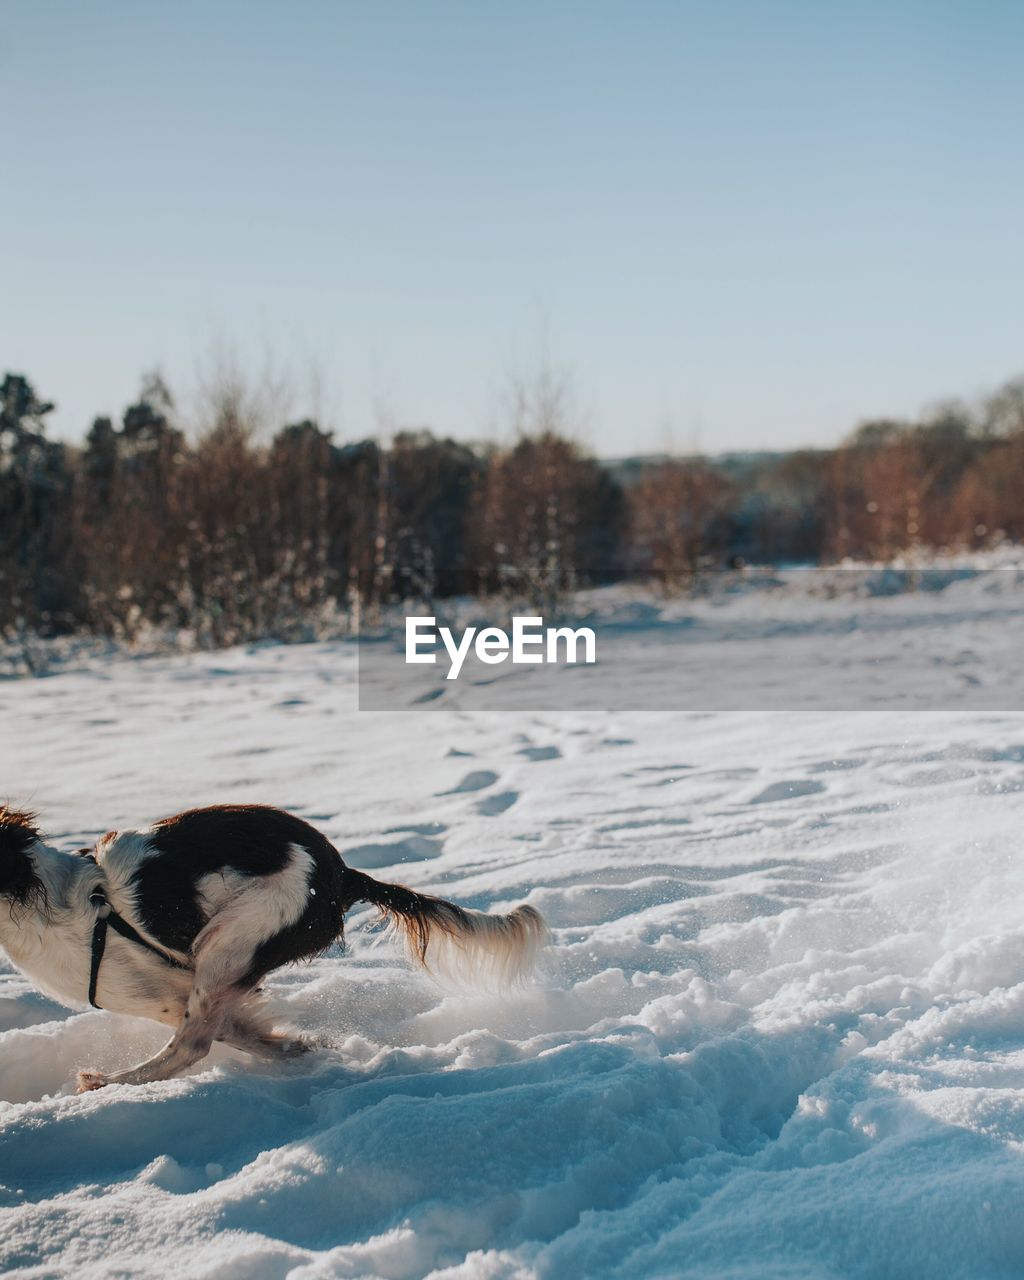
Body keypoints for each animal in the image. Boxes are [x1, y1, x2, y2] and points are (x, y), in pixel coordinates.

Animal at [0, 798, 552, 1090]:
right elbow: (253, 1034)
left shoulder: (175, 991)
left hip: (229, 940)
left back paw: (106, 1083)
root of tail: (343, 875)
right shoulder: (179, 997)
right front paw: (308, 1049)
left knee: (190, 1046)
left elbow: (204, 1038)